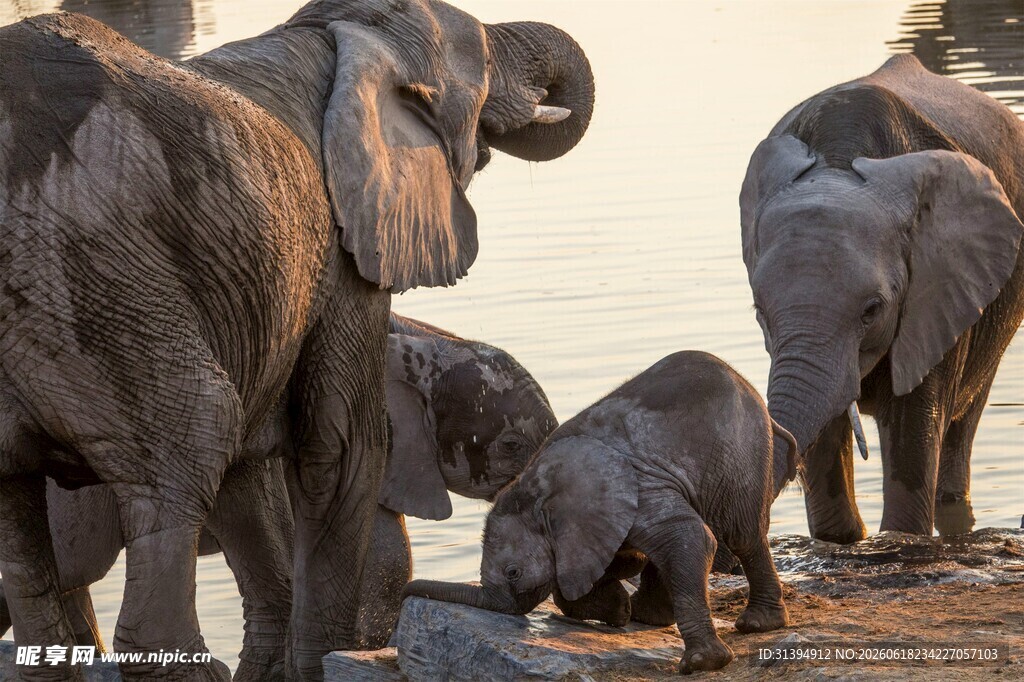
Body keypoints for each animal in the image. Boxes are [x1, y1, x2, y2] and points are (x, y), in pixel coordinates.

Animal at [405, 351, 798, 674]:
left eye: (513, 573)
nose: (405, 592)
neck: (537, 486)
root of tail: (754, 396)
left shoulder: (638, 487)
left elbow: (692, 538)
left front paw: (700, 664)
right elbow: (611, 565)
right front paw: (618, 610)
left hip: (740, 454)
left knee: (743, 535)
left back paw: (755, 625)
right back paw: (646, 615)